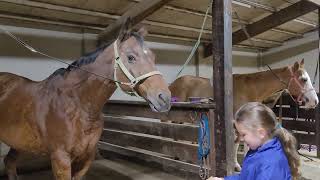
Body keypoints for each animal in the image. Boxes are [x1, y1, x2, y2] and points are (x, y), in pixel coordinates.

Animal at [0, 21, 172, 180]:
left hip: (18, 142)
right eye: (131, 57)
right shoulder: (60, 159)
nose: (165, 98)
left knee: (10, 163)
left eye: (153, 57)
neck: (77, 105)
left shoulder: (86, 157)